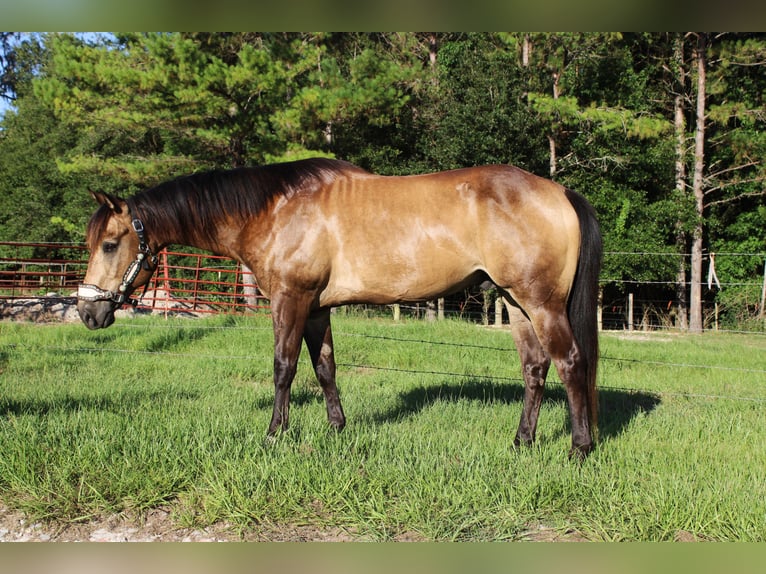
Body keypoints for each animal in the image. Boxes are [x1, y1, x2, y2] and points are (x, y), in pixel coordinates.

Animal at [77, 158, 602, 459]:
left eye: (109, 244)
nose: (87, 313)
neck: (274, 209)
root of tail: (558, 192)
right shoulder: (315, 308)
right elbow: (324, 367)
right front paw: (336, 429)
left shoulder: (290, 299)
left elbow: (284, 367)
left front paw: (274, 435)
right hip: (515, 303)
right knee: (535, 369)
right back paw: (521, 443)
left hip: (540, 302)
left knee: (571, 364)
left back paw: (579, 449)